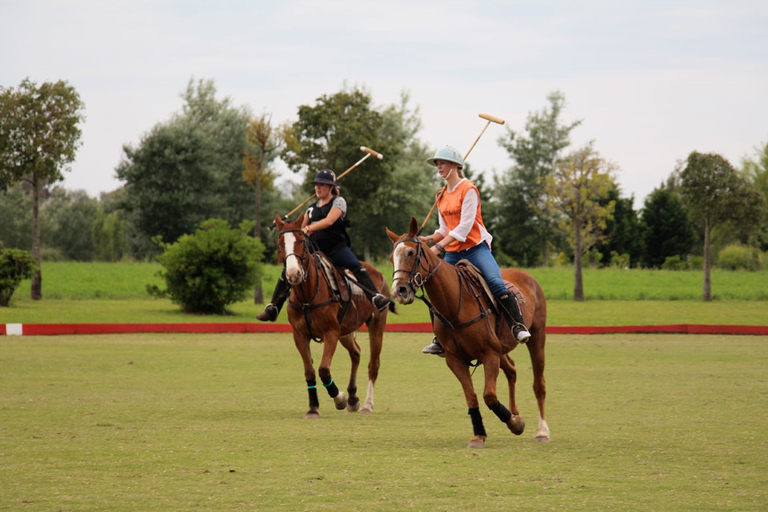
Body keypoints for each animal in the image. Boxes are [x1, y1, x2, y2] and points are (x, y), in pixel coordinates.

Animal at [274, 214, 392, 418]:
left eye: (301, 242)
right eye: (280, 243)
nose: (293, 274)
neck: (307, 297)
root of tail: (377, 272)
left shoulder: (331, 333)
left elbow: (323, 369)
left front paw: (340, 399)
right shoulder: (300, 335)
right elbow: (309, 371)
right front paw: (313, 408)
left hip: (376, 323)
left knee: (373, 364)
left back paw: (367, 405)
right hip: (345, 330)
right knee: (356, 353)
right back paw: (353, 398)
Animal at [388, 218, 548, 446]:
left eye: (410, 253)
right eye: (391, 257)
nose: (399, 291)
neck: (455, 304)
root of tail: (526, 275)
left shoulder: (489, 353)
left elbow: (489, 395)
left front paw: (514, 424)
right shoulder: (455, 359)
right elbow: (471, 396)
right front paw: (480, 434)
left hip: (537, 336)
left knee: (538, 383)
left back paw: (542, 431)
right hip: (502, 347)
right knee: (512, 370)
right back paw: (515, 412)